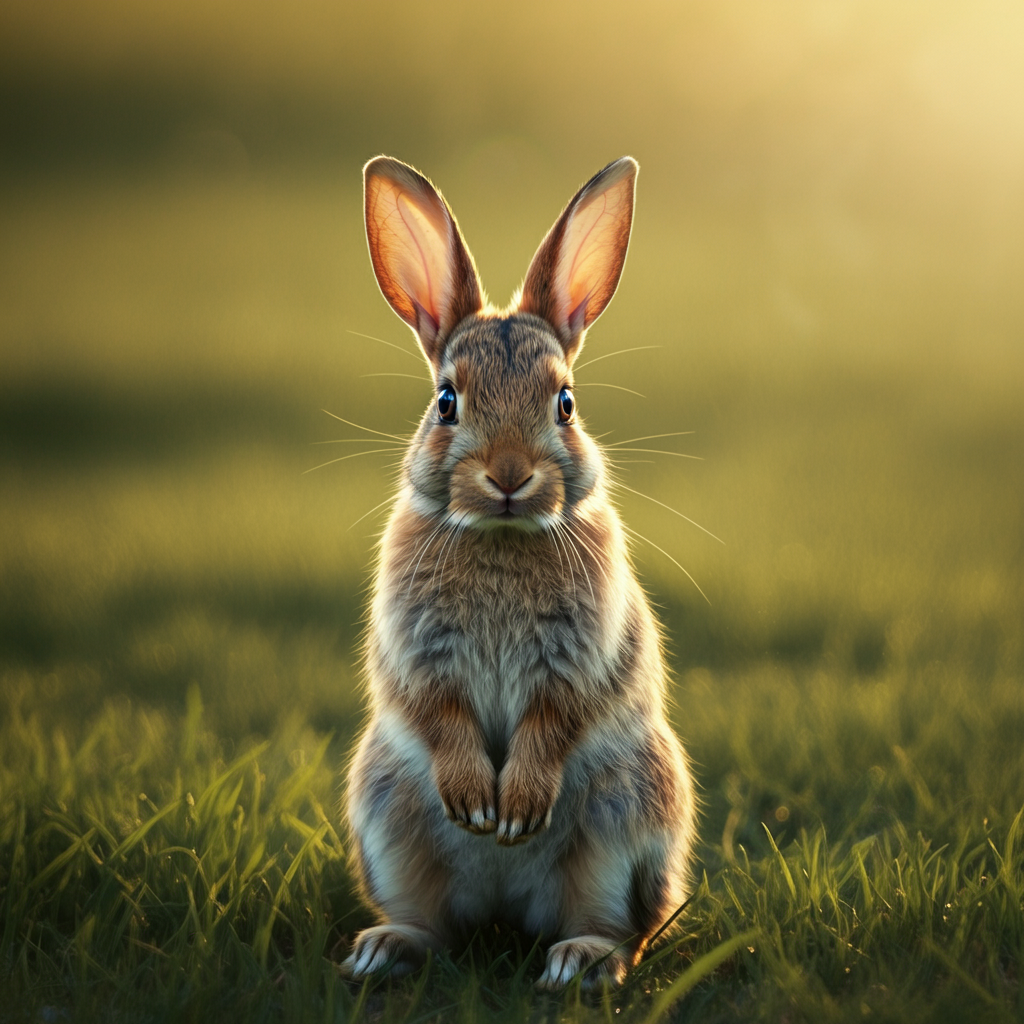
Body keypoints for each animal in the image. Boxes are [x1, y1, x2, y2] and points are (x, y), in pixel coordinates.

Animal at [342, 153, 696, 991]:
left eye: (565, 403)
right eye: (446, 401)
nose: (508, 475)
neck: (501, 534)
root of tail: (506, 905)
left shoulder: (579, 655)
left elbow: (554, 718)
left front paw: (515, 809)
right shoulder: (419, 653)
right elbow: (440, 712)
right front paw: (480, 806)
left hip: (625, 821)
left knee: (619, 928)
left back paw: (578, 963)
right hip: (387, 814)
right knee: (431, 923)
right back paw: (382, 950)